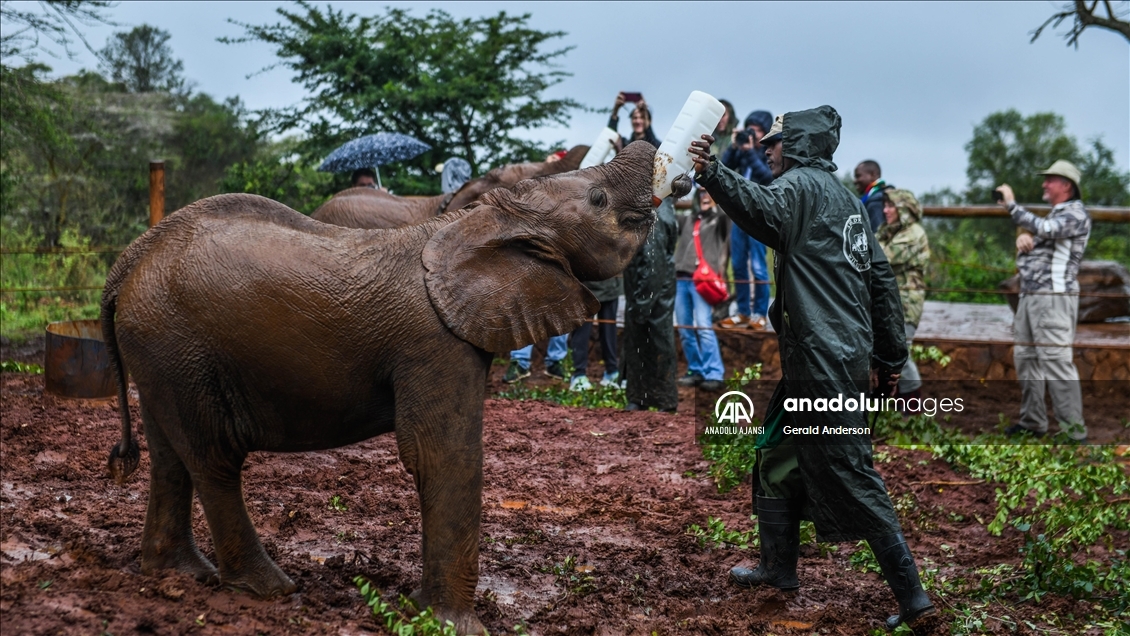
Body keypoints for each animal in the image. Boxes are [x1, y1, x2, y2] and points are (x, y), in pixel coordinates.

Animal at [106, 141, 659, 632]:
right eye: (597, 199)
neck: (481, 218)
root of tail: (128, 260)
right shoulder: (434, 340)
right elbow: (442, 454)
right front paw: (451, 625)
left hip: (162, 348)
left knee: (171, 455)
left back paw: (179, 574)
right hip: (177, 342)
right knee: (214, 459)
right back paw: (268, 589)